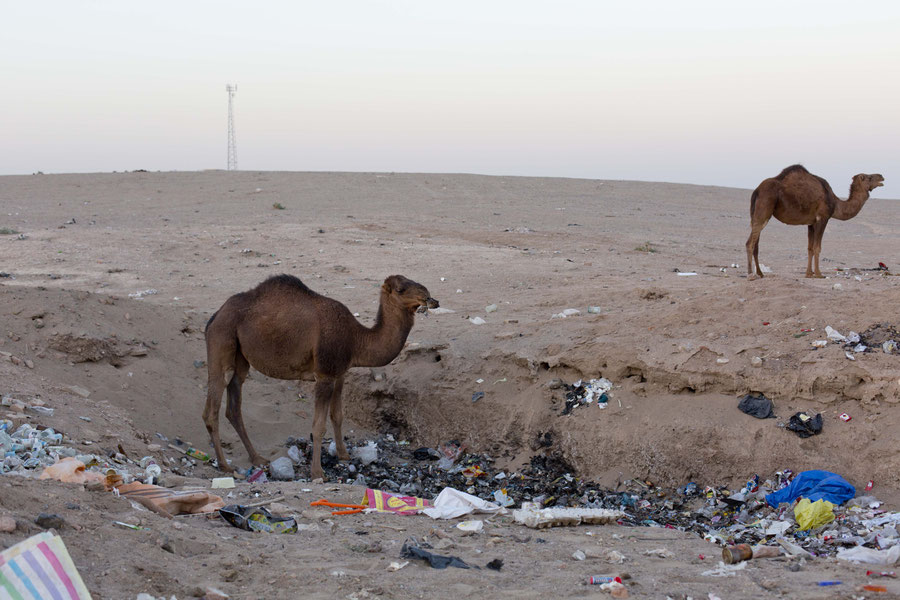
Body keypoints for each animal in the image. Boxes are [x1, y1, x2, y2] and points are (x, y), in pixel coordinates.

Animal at [205, 274, 442, 480]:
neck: (355, 339)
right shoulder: (325, 375)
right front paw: (317, 473)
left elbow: (337, 415)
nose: (430, 298)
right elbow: (318, 426)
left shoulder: (340, 374)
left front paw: (344, 455)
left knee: (234, 406)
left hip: (240, 359)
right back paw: (225, 465)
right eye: (401, 289)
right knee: (213, 408)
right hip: (222, 341)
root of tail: (215, 316)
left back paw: (257, 458)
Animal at [744, 165, 884, 280]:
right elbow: (817, 247)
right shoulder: (823, 218)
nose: (881, 176)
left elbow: (810, 248)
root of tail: (756, 190)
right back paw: (750, 275)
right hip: (765, 207)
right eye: (869, 177)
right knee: (750, 243)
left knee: (756, 244)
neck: (835, 202)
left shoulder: (811, 223)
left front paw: (808, 274)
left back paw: (760, 273)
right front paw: (818, 273)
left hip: (756, 214)